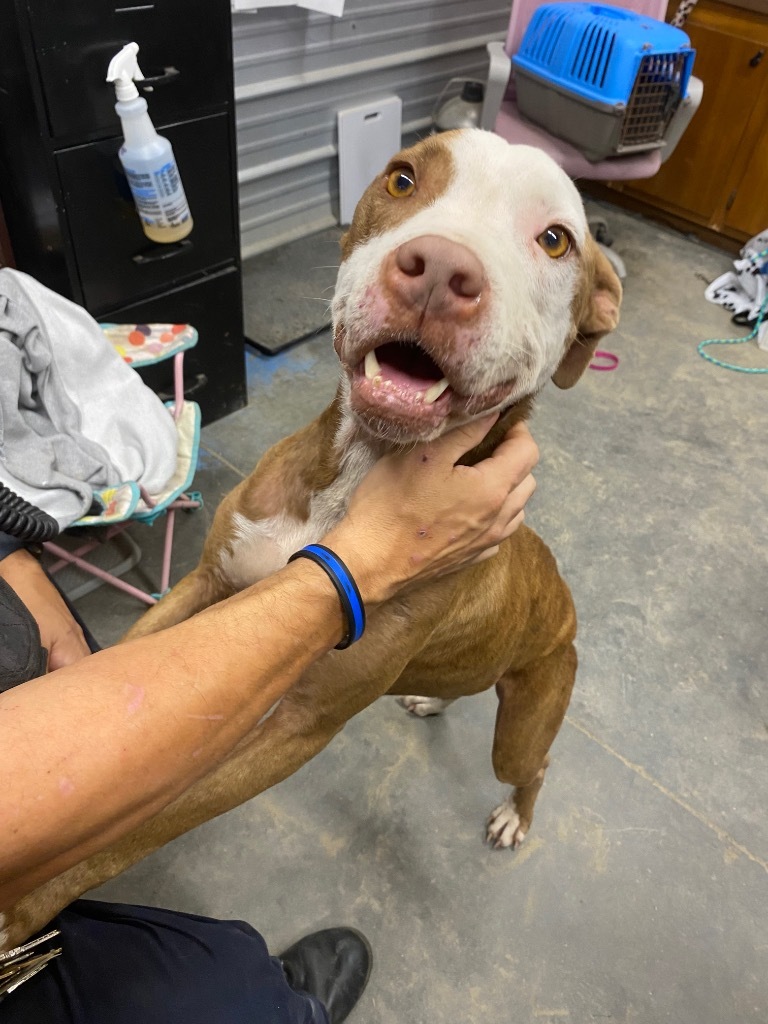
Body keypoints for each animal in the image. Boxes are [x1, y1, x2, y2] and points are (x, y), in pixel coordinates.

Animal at [3, 132, 622, 946]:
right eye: (402, 178)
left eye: (555, 239)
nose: (440, 268)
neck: (348, 483)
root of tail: (564, 597)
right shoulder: (206, 585)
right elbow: (123, 672)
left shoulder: (297, 727)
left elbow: (139, 831)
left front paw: (26, 907)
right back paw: (432, 703)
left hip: (526, 717)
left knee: (534, 764)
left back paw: (514, 817)